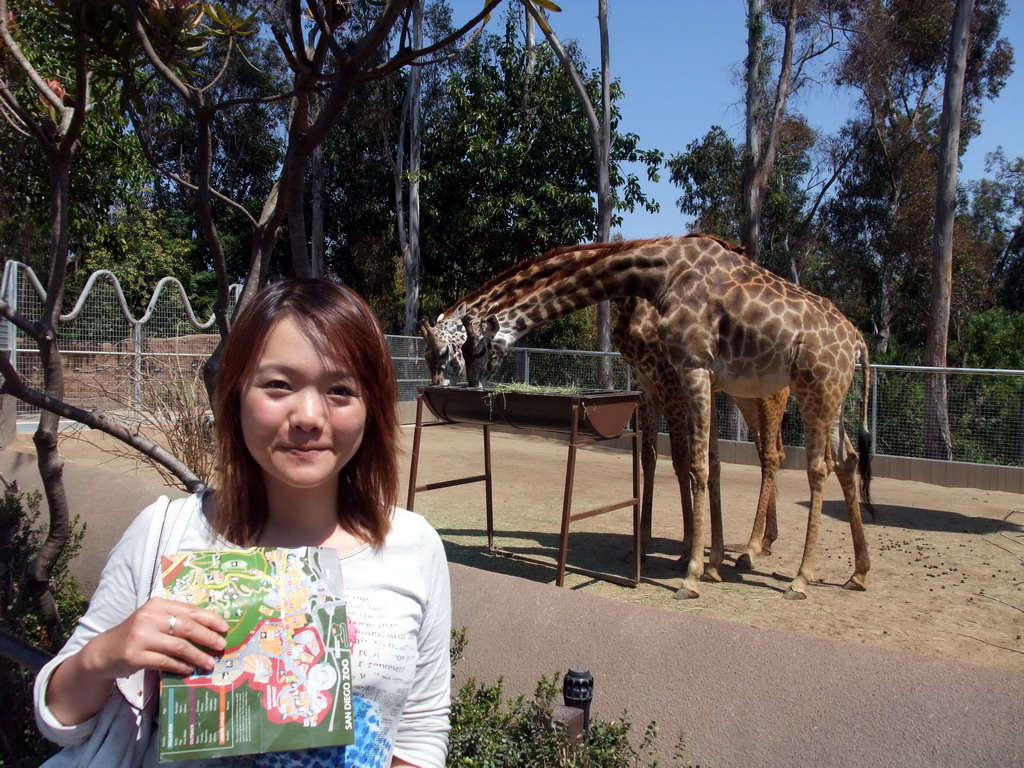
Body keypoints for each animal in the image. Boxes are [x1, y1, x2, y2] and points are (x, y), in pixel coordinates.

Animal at [454, 234, 872, 602]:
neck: (659, 274)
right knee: (846, 461)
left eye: (475, 348)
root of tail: (858, 341)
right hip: (830, 396)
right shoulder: (678, 377)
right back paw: (857, 572)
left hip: (807, 389)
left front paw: (692, 574)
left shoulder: (690, 368)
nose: (471, 384)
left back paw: (794, 576)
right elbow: (695, 461)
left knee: (813, 465)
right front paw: (705, 560)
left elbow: (696, 464)